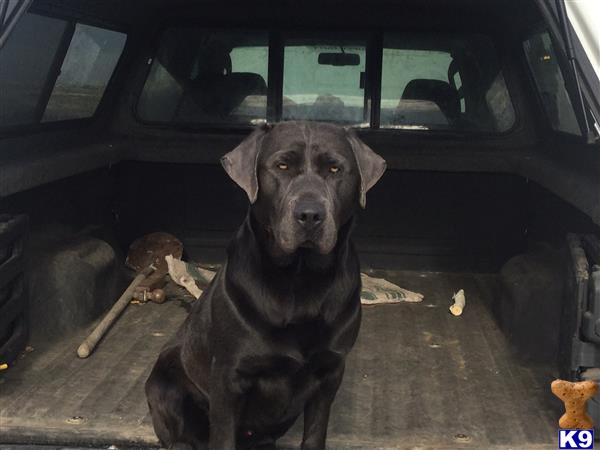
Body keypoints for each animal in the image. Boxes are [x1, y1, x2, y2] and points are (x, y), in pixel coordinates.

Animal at [145, 121, 384, 448]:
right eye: (282, 166)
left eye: (334, 169)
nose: (310, 215)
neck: (300, 277)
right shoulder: (229, 380)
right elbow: (223, 438)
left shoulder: (329, 373)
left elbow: (314, 433)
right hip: (166, 384)